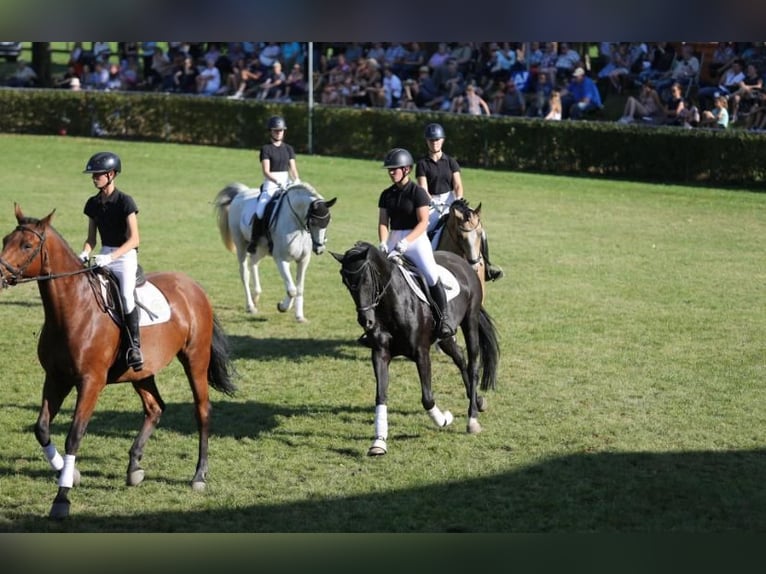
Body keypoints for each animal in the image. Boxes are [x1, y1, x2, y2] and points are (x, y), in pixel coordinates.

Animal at [0, 207, 237, 520]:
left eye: (27, 246)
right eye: (5, 240)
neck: (72, 308)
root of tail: (194, 287)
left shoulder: (90, 382)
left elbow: (74, 436)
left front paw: (62, 497)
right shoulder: (56, 377)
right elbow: (41, 429)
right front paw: (69, 472)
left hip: (195, 360)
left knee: (202, 412)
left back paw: (199, 476)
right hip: (141, 371)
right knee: (155, 407)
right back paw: (134, 468)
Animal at [332, 241, 500, 456]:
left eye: (366, 279)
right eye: (346, 282)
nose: (366, 322)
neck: (392, 304)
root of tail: (461, 262)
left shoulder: (421, 353)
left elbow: (427, 398)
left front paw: (444, 419)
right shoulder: (379, 354)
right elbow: (381, 395)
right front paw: (379, 442)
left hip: (470, 321)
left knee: (472, 366)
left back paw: (472, 419)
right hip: (445, 337)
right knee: (460, 359)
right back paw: (477, 400)